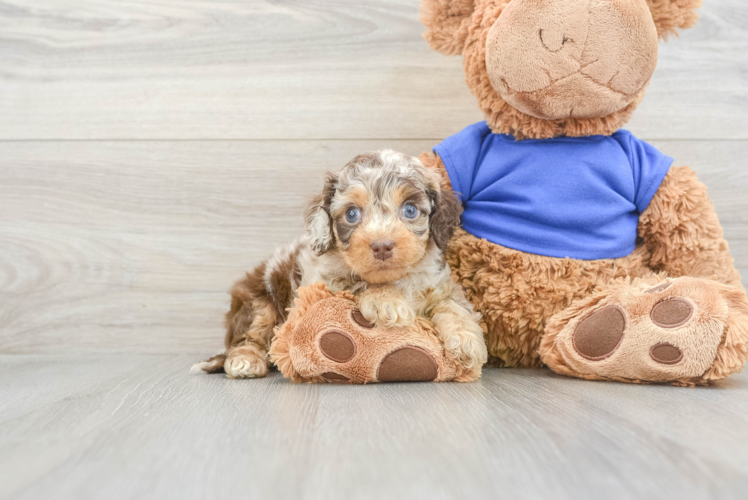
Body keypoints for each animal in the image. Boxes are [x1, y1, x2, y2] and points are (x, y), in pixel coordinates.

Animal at [190, 148, 488, 378]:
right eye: (352, 214)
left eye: (410, 210)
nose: (381, 245)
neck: (394, 279)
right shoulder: (322, 283)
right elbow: (357, 283)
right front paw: (386, 301)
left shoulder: (439, 283)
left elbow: (452, 304)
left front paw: (466, 340)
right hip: (258, 301)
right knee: (248, 337)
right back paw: (246, 360)